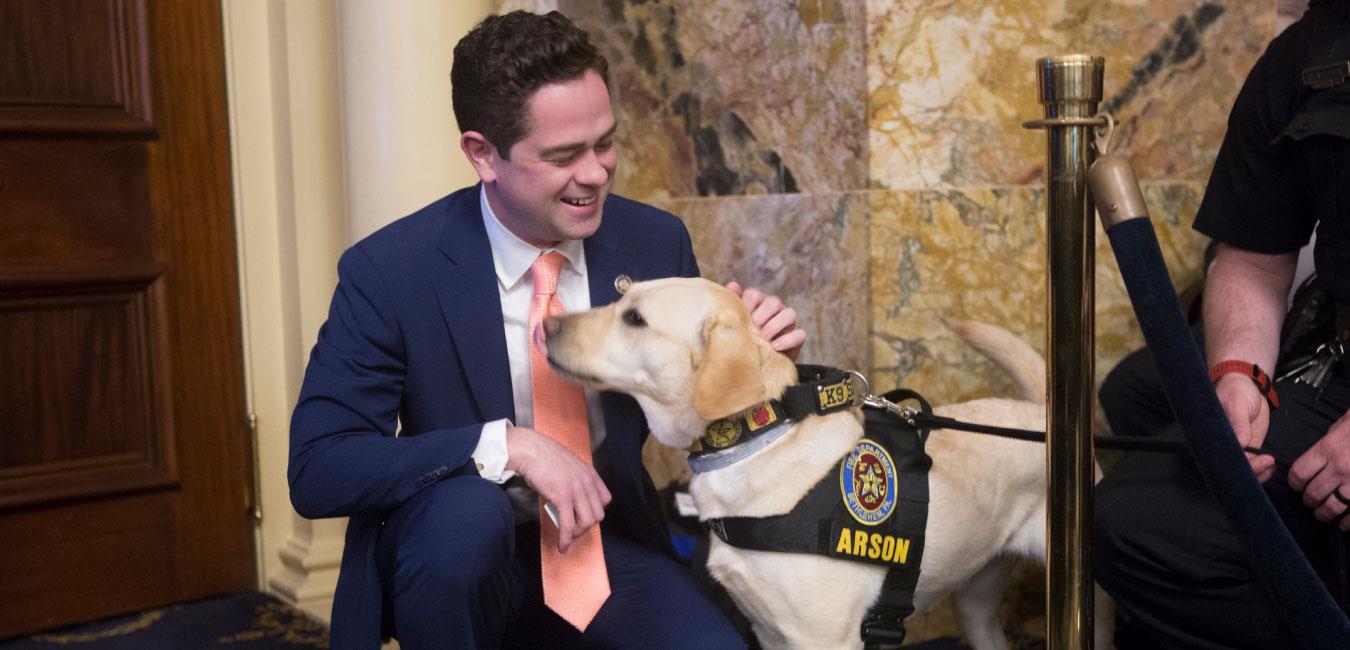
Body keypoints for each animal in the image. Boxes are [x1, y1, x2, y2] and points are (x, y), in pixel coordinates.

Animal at [540, 277, 1107, 648]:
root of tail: (1041, 416)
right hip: (976, 605)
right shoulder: (769, 634)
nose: (545, 323)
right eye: (620, 299)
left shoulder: (827, 639)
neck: (759, 438)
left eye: (634, 318)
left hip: (1093, 601)